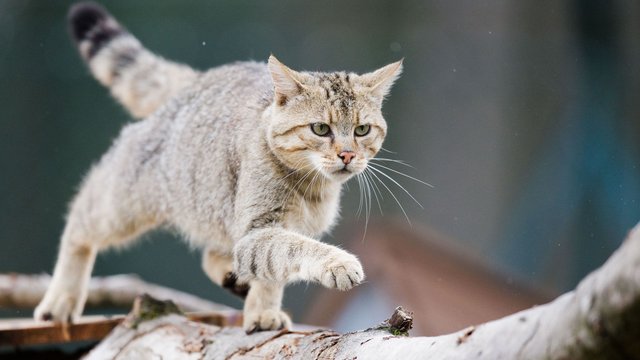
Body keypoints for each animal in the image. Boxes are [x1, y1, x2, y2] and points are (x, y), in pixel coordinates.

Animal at [33, 1, 400, 332]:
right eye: (321, 129)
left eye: (362, 130)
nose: (347, 155)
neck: (312, 188)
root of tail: (199, 78)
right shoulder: (259, 228)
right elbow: (292, 249)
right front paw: (337, 263)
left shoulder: (265, 232)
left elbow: (273, 270)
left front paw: (262, 312)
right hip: (126, 198)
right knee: (80, 220)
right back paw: (61, 298)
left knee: (213, 253)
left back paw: (233, 277)